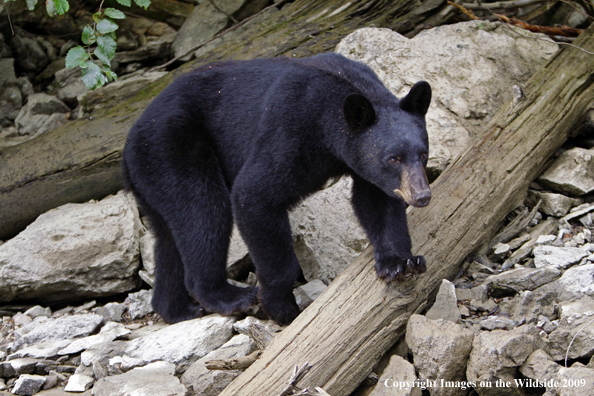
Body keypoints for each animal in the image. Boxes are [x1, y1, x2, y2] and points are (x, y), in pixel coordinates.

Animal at [122, 52, 432, 324]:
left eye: (423, 154)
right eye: (393, 158)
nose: (422, 196)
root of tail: (128, 145)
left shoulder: (362, 161)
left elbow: (376, 200)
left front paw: (400, 263)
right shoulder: (291, 128)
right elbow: (254, 195)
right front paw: (281, 307)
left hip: (154, 176)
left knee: (169, 237)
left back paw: (176, 308)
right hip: (173, 148)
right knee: (205, 212)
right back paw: (229, 297)